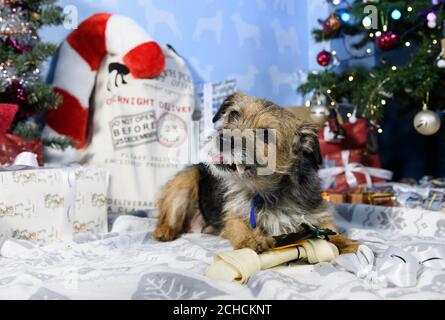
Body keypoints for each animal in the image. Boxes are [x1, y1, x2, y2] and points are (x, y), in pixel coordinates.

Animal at [153, 93, 358, 255]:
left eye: (266, 135)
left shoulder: (318, 215)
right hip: (186, 179)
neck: (268, 193)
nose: (222, 139)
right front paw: (253, 239)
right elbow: (240, 228)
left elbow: (331, 230)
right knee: (167, 217)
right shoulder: (234, 216)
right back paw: (164, 231)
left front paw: (346, 242)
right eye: (233, 114)